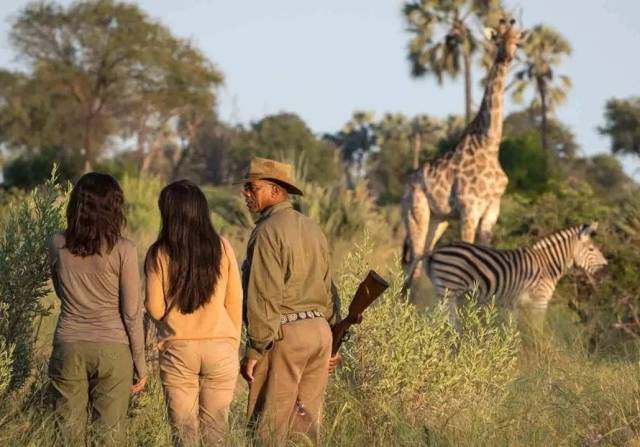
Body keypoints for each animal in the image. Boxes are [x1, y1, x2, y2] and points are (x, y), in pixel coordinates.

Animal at [402, 19, 528, 292]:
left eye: (517, 41)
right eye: (498, 40)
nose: (507, 56)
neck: (490, 144)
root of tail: (406, 187)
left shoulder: (492, 209)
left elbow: (486, 250)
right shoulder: (469, 208)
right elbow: (469, 251)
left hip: (439, 219)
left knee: (422, 257)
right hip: (416, 212)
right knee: (414, 257)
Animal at [428, 224, 608, 326]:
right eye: (591, 249)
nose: (606, 270)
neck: (547, 266)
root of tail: (436, 250)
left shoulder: (515, 305)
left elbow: (513, 329)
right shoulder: (539, 302)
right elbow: (537, 331)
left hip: (445, 291)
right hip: (449, 289)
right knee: (445, 319)